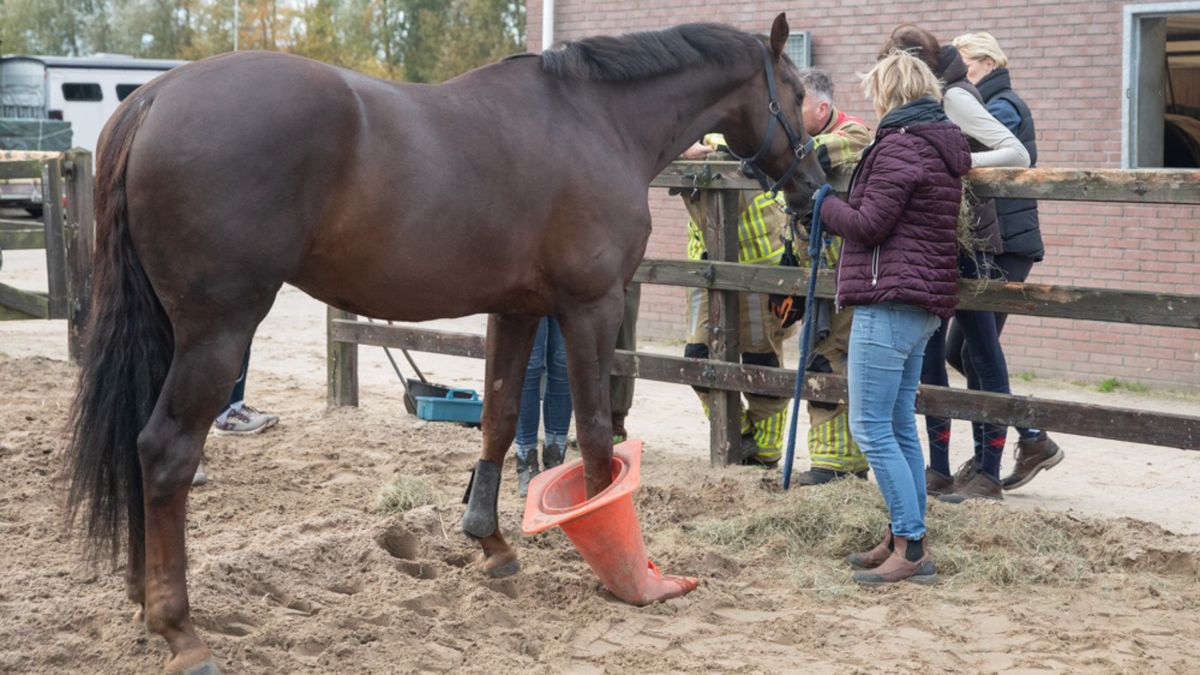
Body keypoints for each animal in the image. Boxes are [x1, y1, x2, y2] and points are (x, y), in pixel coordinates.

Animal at [65, 14, 824, 673]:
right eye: (801, 94)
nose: (811, 187)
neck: (595, 120)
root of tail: (155, 98)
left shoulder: (516, 310)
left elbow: (498, 418)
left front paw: (491, 543)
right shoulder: (590, 308)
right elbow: (596, 437)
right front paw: (628, 575)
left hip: (170, 332)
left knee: (139, 445)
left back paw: (143, 601)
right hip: (219, 330)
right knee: (166, 452)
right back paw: (180, 629)